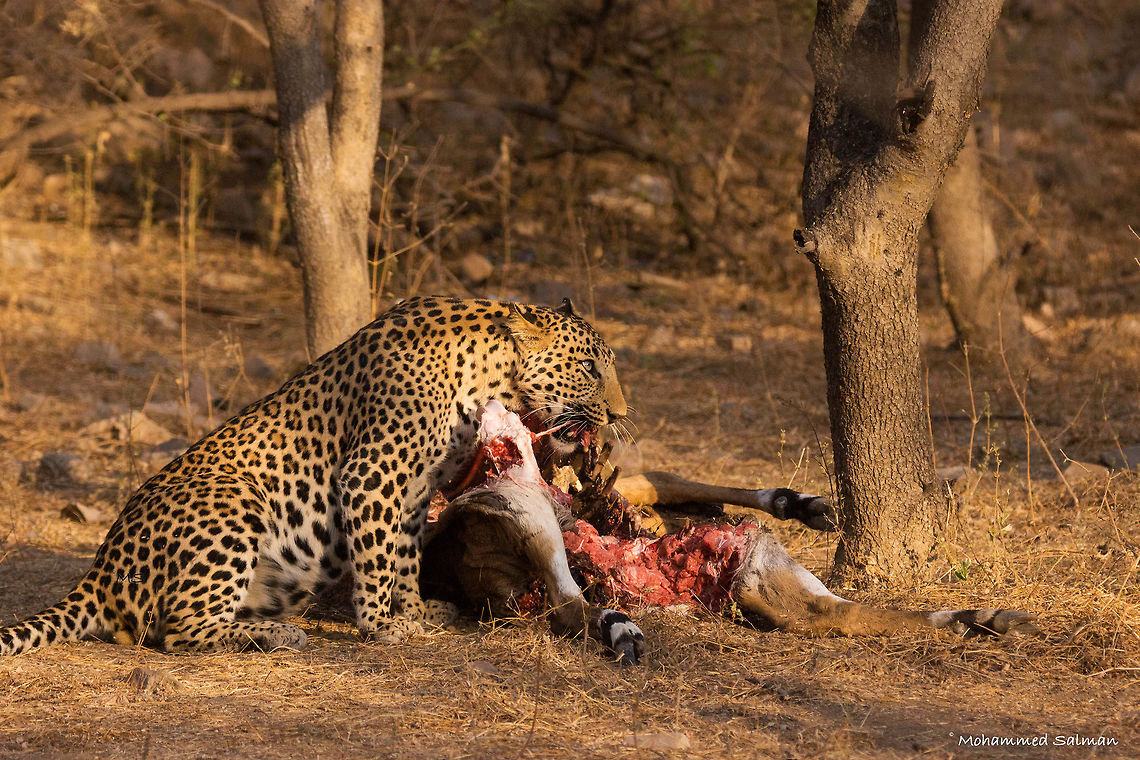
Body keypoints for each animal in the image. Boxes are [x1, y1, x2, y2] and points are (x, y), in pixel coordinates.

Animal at [0, 296, 633, 655]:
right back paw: (273, 635)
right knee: (177, 630)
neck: (488, 376)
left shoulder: (413, 489)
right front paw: (381, 626)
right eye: (588, 367)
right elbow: (376, 558)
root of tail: (99, 570)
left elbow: (404, 555)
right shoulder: (372, 473)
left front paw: (414, 611)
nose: (621, 414)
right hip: (235, 500)